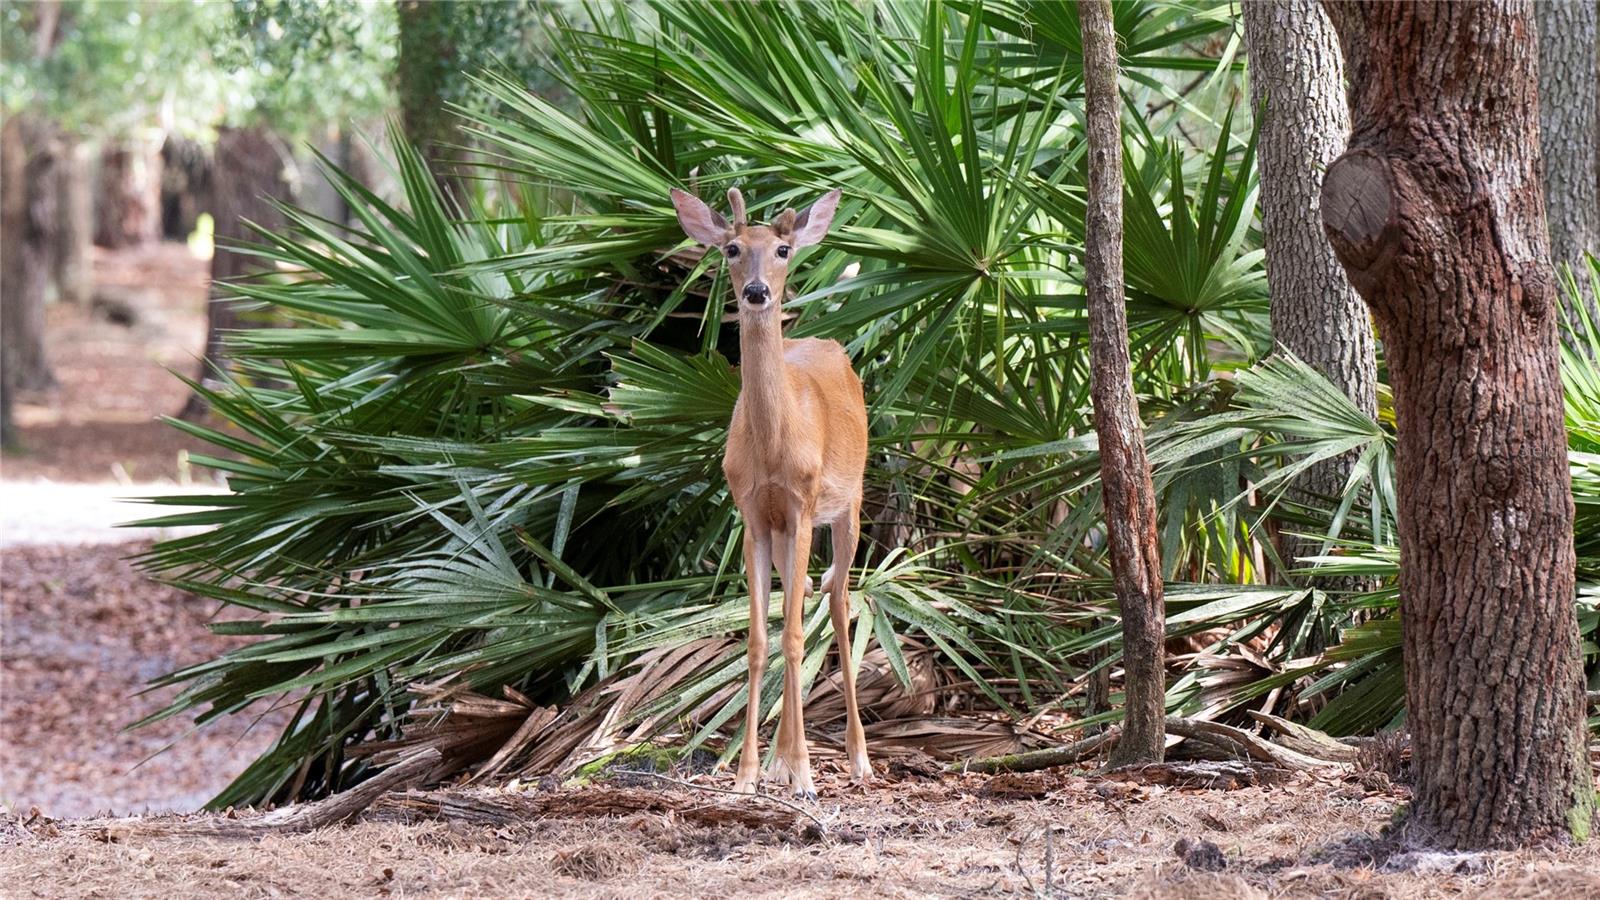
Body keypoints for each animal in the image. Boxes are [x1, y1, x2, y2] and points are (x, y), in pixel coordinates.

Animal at [668, 185, 870, 794]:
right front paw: (749, 773)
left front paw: (802, 770)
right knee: (800, 600)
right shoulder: (754, 514)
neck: (776, 446)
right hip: (785, 536)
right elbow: (760, 639)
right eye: (731, 248)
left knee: (838, 602)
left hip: (850, 502)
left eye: (783, 249)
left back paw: (857, 756)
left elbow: (797, 636)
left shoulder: (802, 504)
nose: (757, 292)